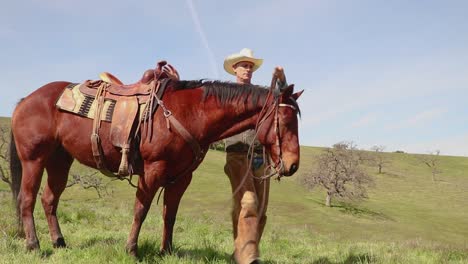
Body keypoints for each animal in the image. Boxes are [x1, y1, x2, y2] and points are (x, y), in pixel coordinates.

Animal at [11, 77, 304, 256]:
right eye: (284, 121)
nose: (292, 165)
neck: (191, 113)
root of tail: (26, 99)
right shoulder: (153, 170)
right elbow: (141, 210)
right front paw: (131, 249)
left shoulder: (181, 178)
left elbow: (169, 214)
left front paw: (167, 250)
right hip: (34, 159)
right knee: (27, 199)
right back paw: (34, 244)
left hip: (59, 160)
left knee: (49, 200)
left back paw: (59, 242)